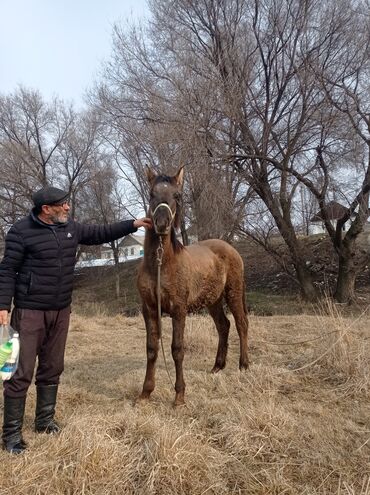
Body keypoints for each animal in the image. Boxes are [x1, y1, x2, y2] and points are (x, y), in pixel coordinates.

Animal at [137, 167, 249, 406]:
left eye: (177, 195)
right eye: (151, 194)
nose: (162, 223)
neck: (161, 263)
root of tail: (230, 248)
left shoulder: (179, 310)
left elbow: (177, 349)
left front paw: (179, 395)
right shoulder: (149, 309)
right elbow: (151, 349)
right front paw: (145, 393)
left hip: (233, 293)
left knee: (241, 324)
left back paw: (244, 364)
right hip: (213, 300)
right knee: (223, 326)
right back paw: (217, 366)